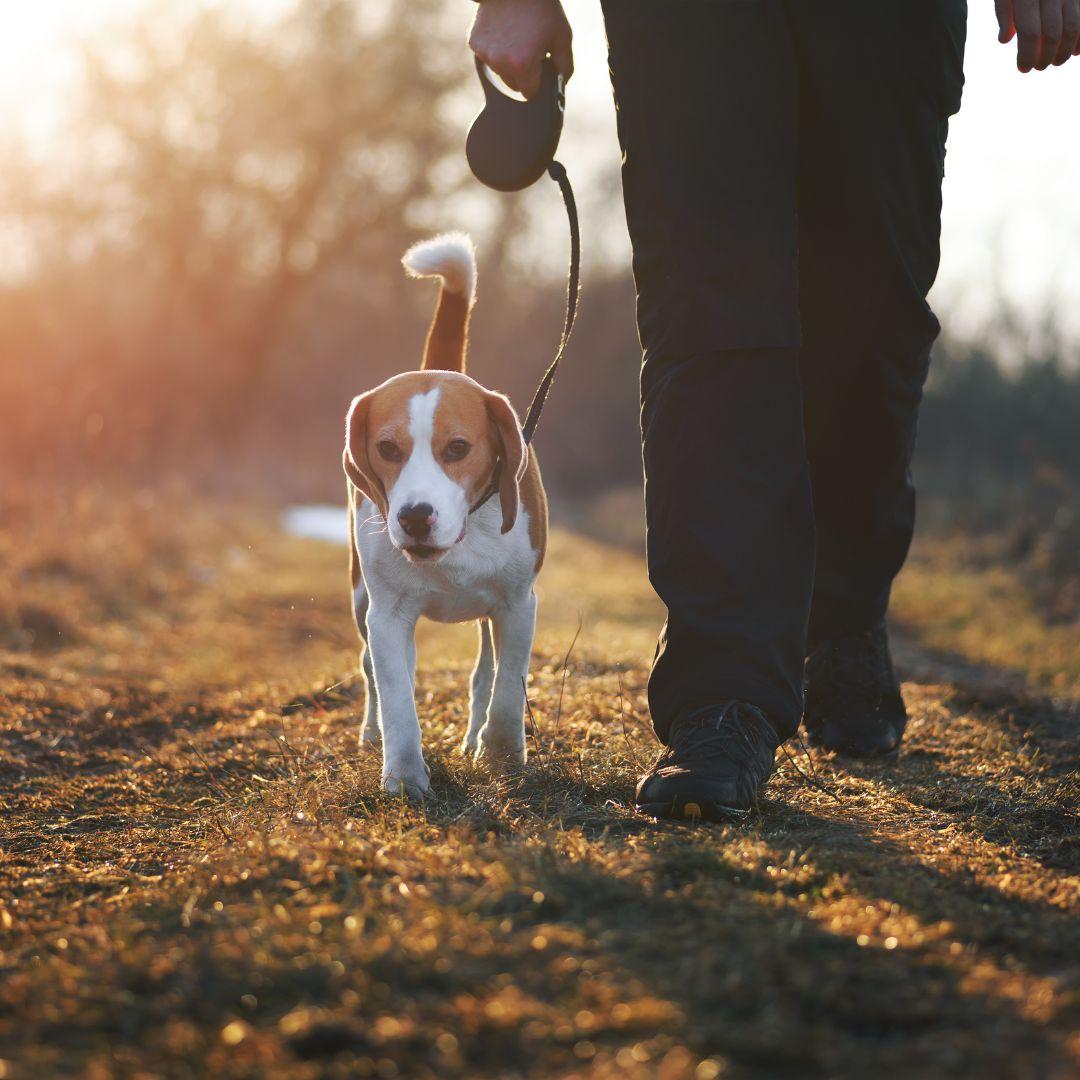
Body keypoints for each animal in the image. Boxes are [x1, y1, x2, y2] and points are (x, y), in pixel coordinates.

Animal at [343, 236, 548, 794]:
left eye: (457, 448)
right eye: (387, 449)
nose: (414, 517)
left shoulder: (518, 605)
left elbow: (507, 687)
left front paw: (501, 757)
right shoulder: (388, 615)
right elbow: (396, 697)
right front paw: (405, 778)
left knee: (484, 675)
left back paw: (475, 737)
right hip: (361, 597)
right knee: (371, 669)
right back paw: (372, 734)